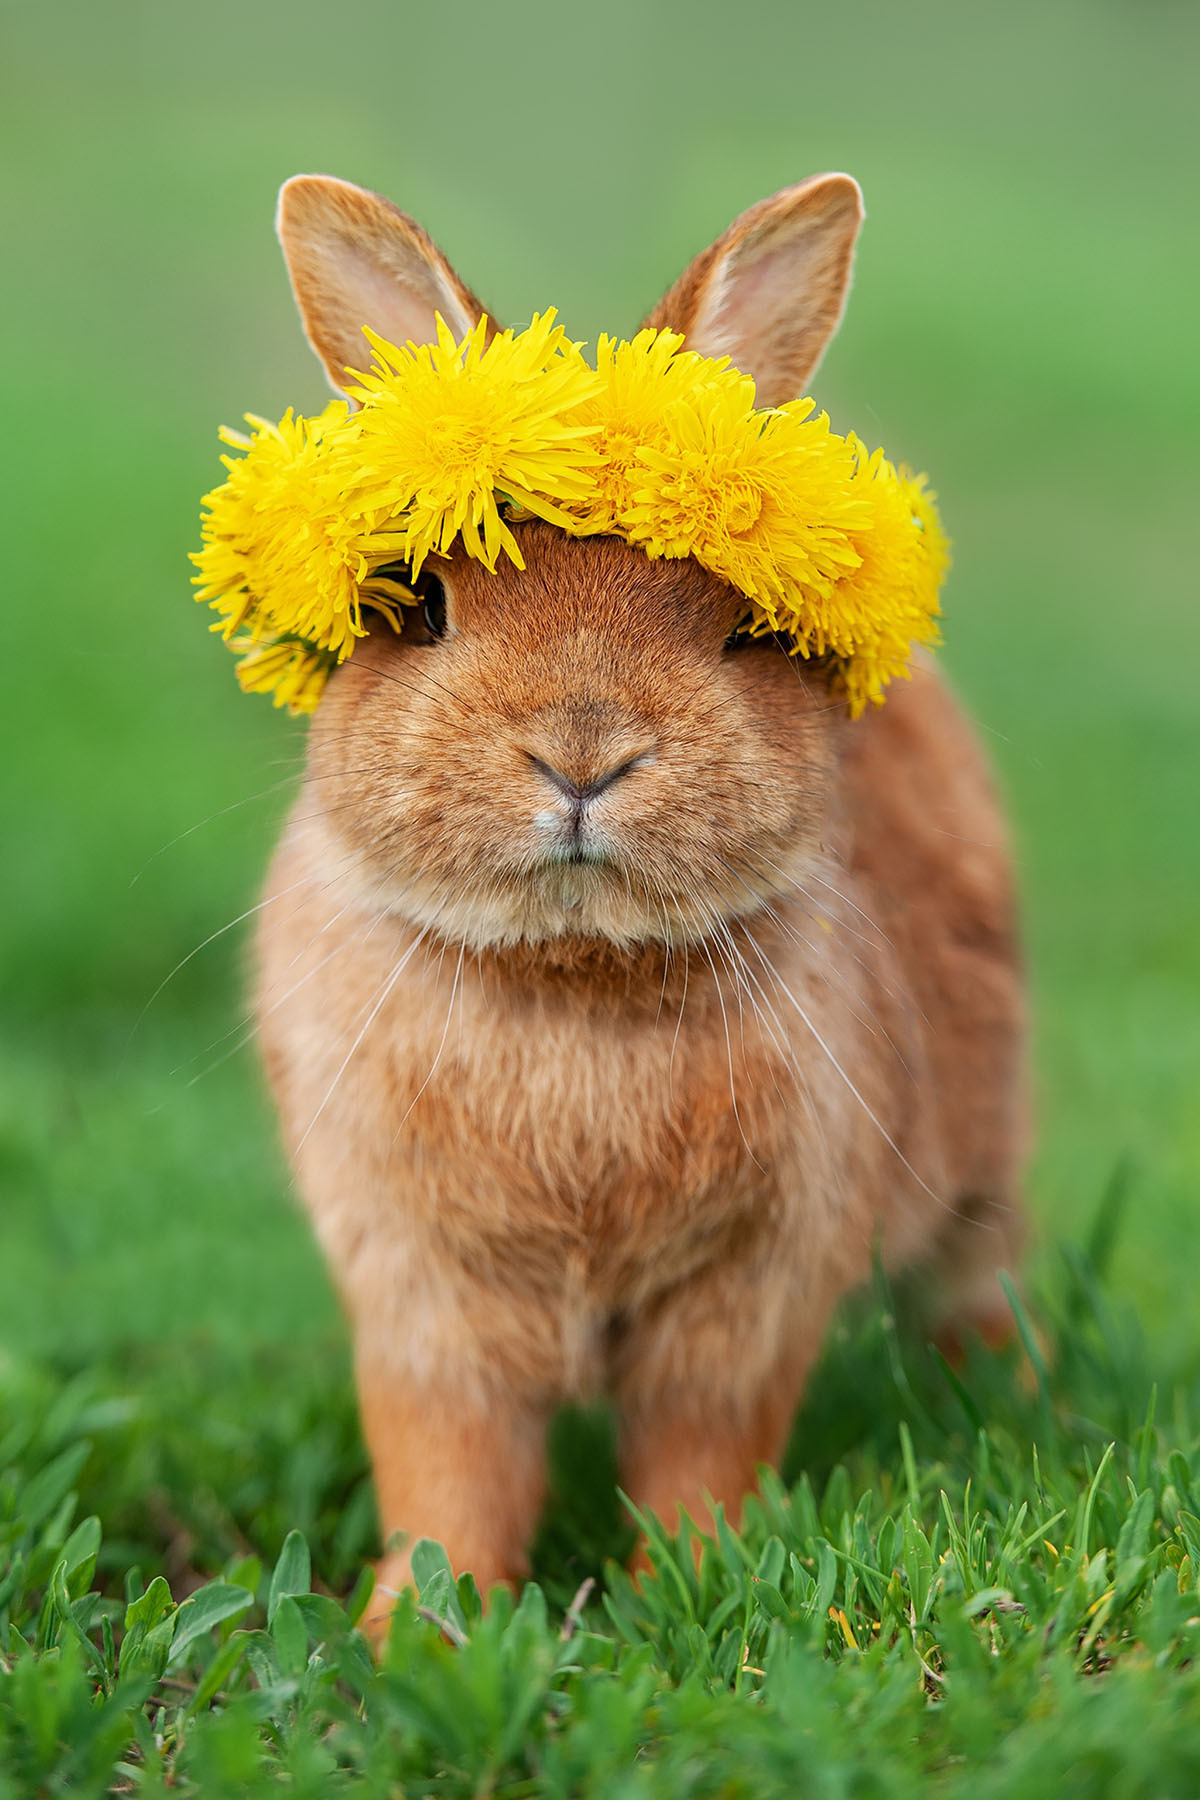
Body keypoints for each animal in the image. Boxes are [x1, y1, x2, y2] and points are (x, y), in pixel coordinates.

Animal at [253, 170, 1027, 1635]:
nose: (583, 754)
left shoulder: (748, 1299)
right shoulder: (421, 1299)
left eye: (742, 626)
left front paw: (690, 1591)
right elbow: (448, 1471)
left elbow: (700, 1457)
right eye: (420, 602)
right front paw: (412, 1632)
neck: (574, 973)